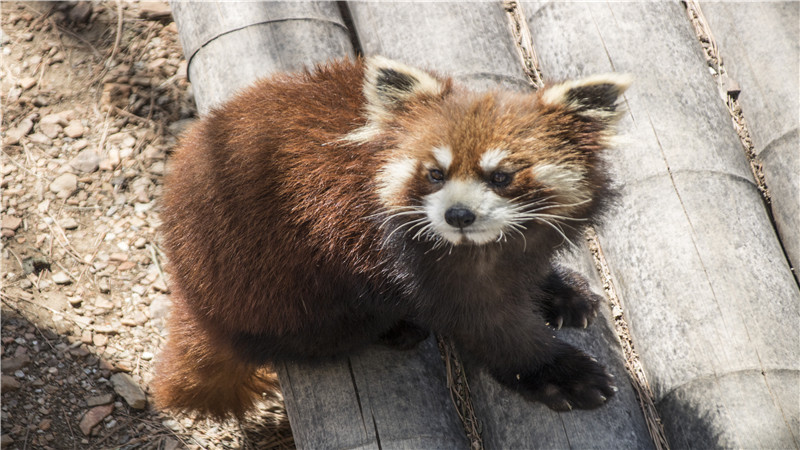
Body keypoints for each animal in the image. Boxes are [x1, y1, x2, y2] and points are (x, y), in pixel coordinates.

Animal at [153, 55, 632, 418]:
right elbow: (489, 325)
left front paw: (561, 290)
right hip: (282, 288)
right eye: (435, 173)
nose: (458, 215)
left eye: (501, 176)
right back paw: (398, 329)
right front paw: (560, 374)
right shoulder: (406, 258)